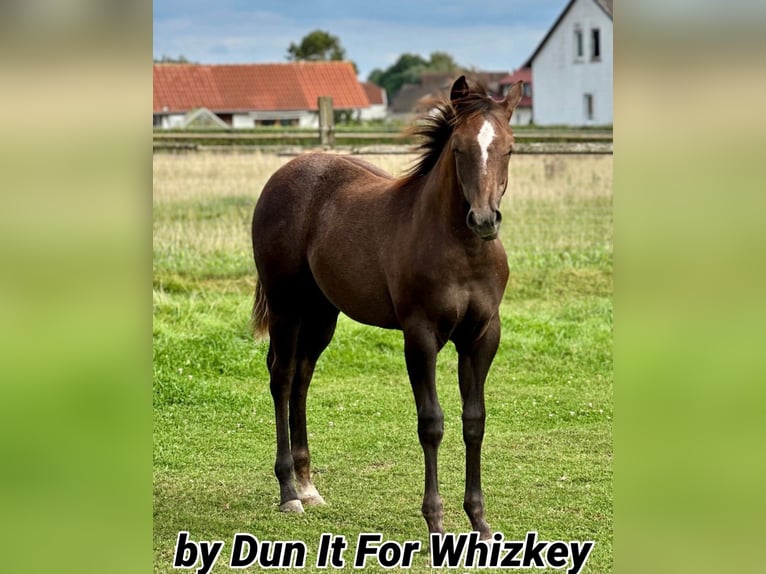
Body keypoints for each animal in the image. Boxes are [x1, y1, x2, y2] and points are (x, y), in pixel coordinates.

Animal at [251, 76, 524, 538]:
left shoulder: (482, 337)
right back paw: (289, 492)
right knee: (283, 378)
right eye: (458, 149)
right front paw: (435, 523)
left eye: (509, 148)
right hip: (286, 306)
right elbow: (431, 423)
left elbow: (475, 422)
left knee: (302, 377)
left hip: (321, 313)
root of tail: (282, 175)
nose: (484, 220)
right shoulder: (421, 336)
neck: (463, 251)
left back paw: (308, 486)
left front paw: (480, 522)